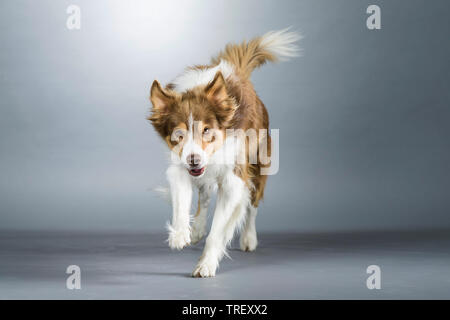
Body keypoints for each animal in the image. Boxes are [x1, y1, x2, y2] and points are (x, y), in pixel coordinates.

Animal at [149, 28, 300, 278]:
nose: (194, 160)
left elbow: (218, 230)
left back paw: (249, 238)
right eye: (178, 134)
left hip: (259, 165)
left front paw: (206, 264)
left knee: (252, 204)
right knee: (204, 194)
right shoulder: (180, 165)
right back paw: (197, 228)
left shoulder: (234, 180)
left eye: (206, 130)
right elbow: (182, 200)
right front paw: (180, 234)